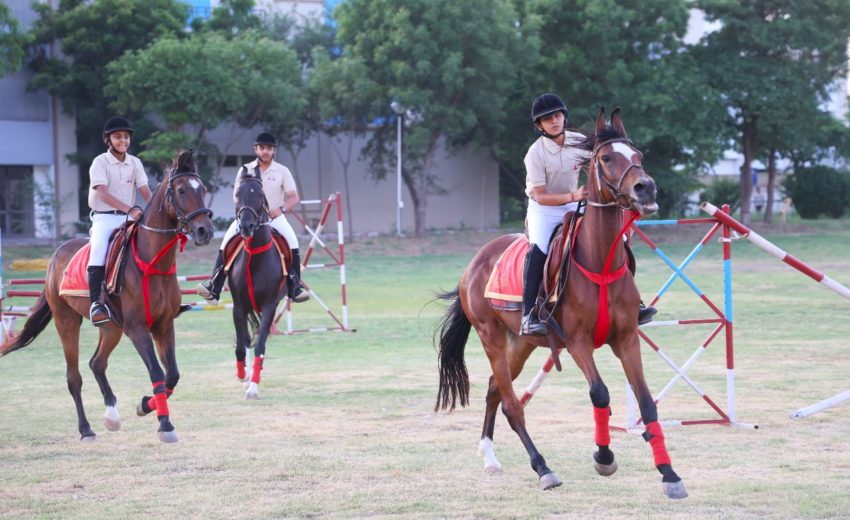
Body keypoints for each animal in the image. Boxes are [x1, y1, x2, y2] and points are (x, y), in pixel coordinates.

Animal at [0, 149, 212, 442]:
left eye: (202, 189)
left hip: (111, 327)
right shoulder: (137, 328)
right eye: (181, 190)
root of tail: (56, 255)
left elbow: (172, 376)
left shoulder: (163, 325)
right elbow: (157, 372)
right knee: (74, 376)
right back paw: (86, 429)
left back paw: (112, 416)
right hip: (67, 321)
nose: (205, 231)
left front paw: (145, 406)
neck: (151, 262)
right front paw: (165, 424)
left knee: (97, 363)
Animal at [227, 171, 290, 398]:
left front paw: (253, 387)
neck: (255, 258)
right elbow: (241, 344)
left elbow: (260, 346)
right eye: (237, 194)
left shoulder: (270, 306)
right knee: (245, 340)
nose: (246, 226)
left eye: (260, 195)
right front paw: (243, 375)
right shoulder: (238, 306)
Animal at [434, 106, 684, 500]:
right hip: (492, 339)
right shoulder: (578, 342)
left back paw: (490, 457)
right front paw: (604, 457)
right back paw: (543, 469)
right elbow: (599, 393)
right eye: (605, 158)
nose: (646, 188)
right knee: (512, 404)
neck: (599, 263)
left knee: (494, 390)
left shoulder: (626, 339)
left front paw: (669, 474)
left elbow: (647, 402)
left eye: (639, 155)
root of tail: (474, 263)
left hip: (521, 343)